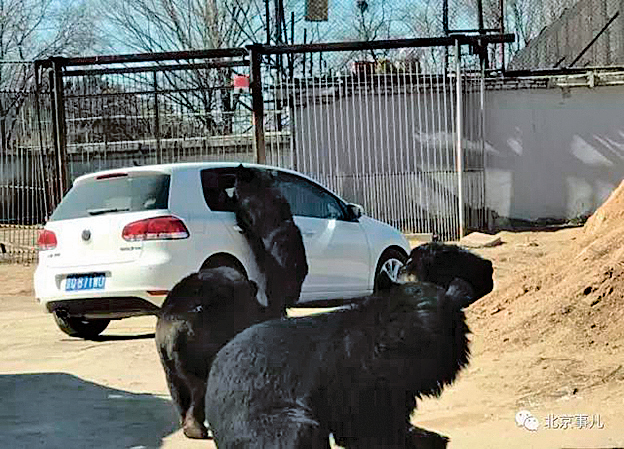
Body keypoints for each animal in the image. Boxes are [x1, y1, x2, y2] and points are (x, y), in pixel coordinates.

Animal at [205, 243, 492, 446]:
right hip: (268, 420)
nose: (488, 267)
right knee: (298, 432)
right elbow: (374, 428)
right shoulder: (374, 382)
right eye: (455, 257)